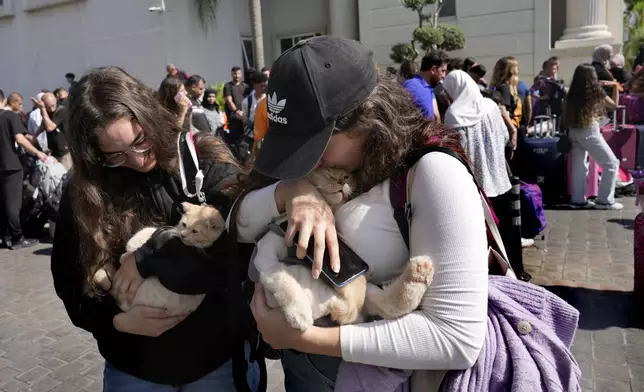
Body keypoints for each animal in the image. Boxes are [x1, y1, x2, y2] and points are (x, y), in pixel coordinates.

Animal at [93, 202, 226, 316]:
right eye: (184, 224)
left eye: (195, 231)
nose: (183, 235)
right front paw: (127, 254)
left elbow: (150, 235)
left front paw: (131, 248)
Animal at [255, 167, 432, 330]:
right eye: (328, 174)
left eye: (347, 176)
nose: (341, 181)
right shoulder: (266, 259)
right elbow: (285, 281)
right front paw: (300, 315)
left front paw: (300, 315)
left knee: (384, 304)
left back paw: (419, 272)